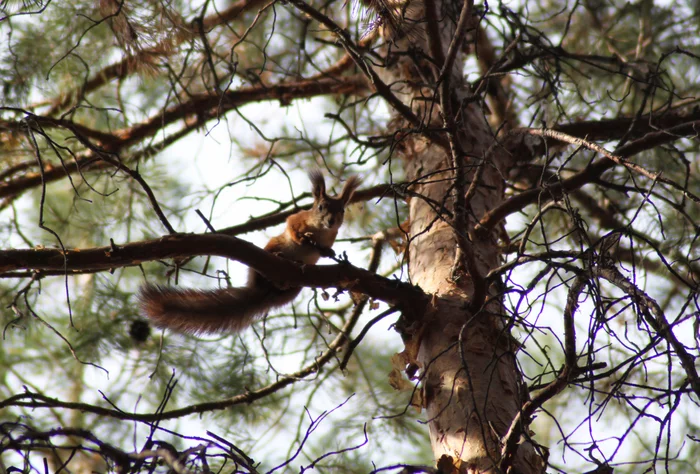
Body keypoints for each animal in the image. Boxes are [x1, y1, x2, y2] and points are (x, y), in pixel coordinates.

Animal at [140, 172, 364, 336]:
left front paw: (328, 251)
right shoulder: (296, 220)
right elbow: (292, 228)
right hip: (272, 247)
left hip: (293, 290)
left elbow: (325, 248)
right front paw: (301, 240)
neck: (321, 232)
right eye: (320, 207)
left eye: (342, 210)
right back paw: (281, 258)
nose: (331, 221)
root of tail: (263, 292)